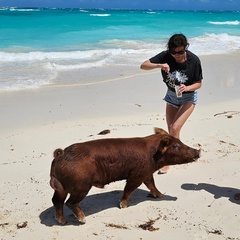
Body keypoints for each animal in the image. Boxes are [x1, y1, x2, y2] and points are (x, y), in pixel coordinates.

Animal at [49, 128, 200, 224]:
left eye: (180, 143)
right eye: (176, 146)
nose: (198, 151)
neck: (153, 155)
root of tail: (60, 155)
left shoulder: (146, 173)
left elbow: (152, 184)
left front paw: (160, 195)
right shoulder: (136, 175)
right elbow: (129, 189)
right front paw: (123, 206)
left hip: (61, 187)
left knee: (56, 201)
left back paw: (62, 221)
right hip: (81, 186)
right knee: (70, 202)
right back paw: (83, 220)